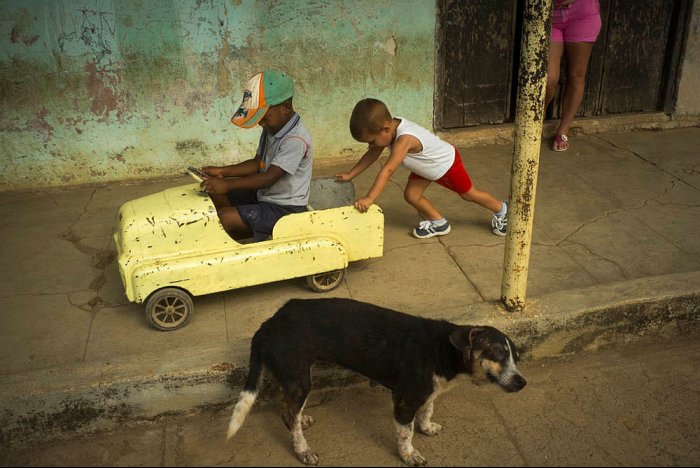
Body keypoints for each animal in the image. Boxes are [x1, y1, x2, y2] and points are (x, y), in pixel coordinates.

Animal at [224, 298, 524, 466]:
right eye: (498, 352)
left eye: (516, 356)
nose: (522, 382)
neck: (443, 350)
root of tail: (268, 324)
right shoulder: (404, 401)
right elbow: (406, 433)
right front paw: (409, 455)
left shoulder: (427, 393)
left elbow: (427, 410)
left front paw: (427, 427)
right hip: (299, 378)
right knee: (290, 417)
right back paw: (303, 450)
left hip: (295, 376)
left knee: (288, 411)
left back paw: (301, 419)